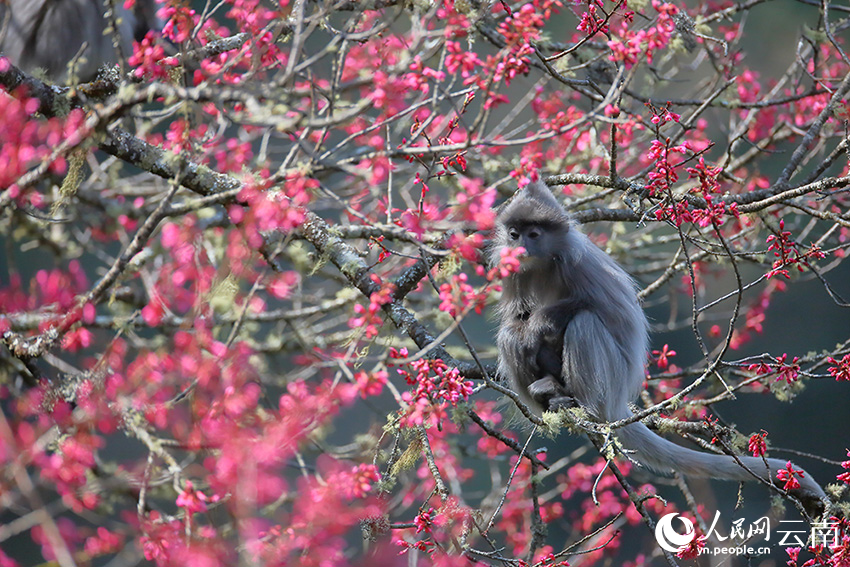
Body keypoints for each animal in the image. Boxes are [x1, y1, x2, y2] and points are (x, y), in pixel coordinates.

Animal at [491, 180, 828, 512]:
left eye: (534, 234)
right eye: (514, 234)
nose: (520, 246)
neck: (542, 264)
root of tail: (615, 403)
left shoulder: (579, 262)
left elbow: (612, 312)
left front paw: (539, 324)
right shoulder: (512, 272)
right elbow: (515, 319)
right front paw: (527, 332)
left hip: (611, 379)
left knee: (584, 322)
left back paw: (576, 402)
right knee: (508, 334)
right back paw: (546, 392)